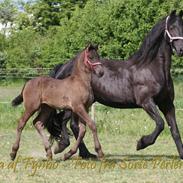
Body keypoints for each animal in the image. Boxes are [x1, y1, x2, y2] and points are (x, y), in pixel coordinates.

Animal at [43, 10, 183, 159]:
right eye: (172, 27)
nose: (181, 50)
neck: (151, 68)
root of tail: (65, 66)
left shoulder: (167, 104)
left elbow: (174, 130)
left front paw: (181, 154)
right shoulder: (146, 102)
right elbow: (160, 124)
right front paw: (141, 143)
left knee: (70, 123)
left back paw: (83, 153)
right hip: (74, 105)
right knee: (66, 122)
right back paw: (68, 148)